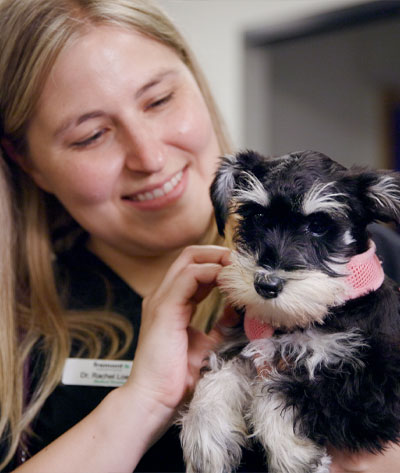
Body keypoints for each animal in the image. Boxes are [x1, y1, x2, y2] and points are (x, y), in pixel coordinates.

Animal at [180, 150, 400, 472]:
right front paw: (207, 433)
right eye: (257, 216)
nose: (266, 285)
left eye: (318, 225)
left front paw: (296, 456)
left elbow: (284, 389)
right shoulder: (251, 346)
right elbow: (222, 374)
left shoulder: (375, 387)